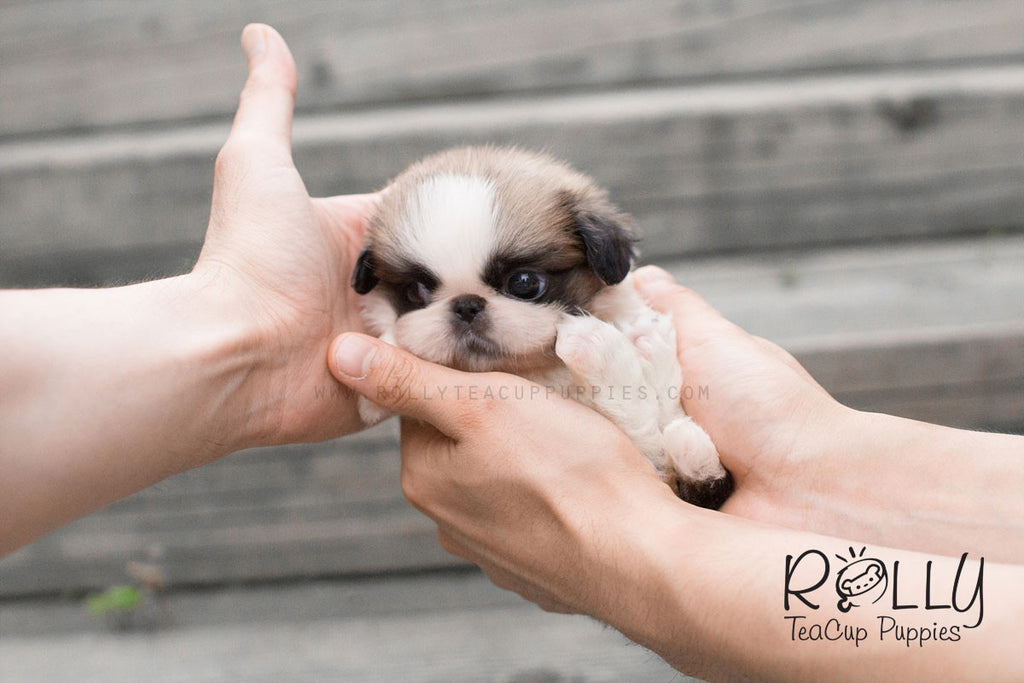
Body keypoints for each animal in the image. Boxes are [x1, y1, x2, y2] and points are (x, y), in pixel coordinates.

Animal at [354, 145, 737, 507]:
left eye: (524, 283)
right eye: (415, 292)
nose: (466, 304)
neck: (538, 372)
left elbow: (639, 417)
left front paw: (600, 347)